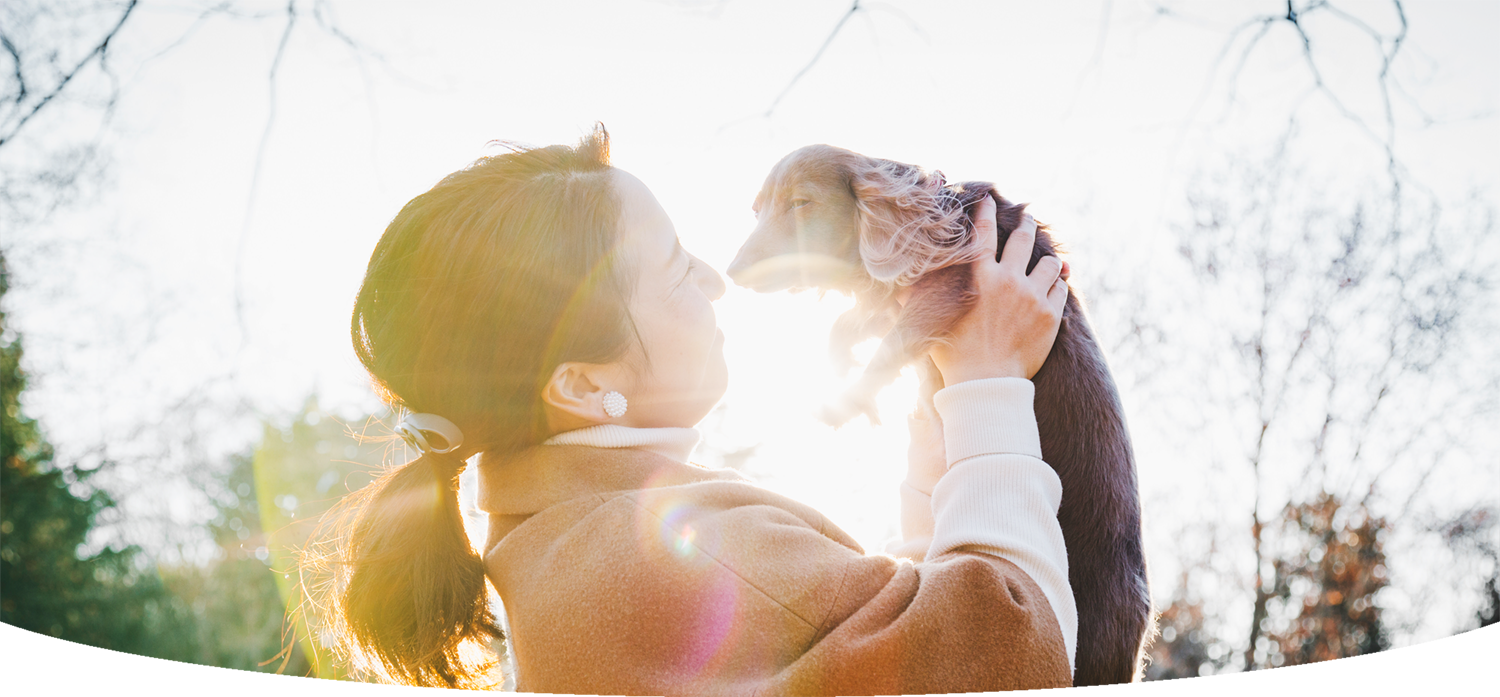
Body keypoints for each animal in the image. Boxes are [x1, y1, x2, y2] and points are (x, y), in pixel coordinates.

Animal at [732, 143, 1152, 692]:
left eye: (801, 203)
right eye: (757, 209)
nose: (732, 270)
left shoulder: (951, 286)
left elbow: (893, 340)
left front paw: (844, 401)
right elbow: (848, 325)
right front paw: (845, 374)